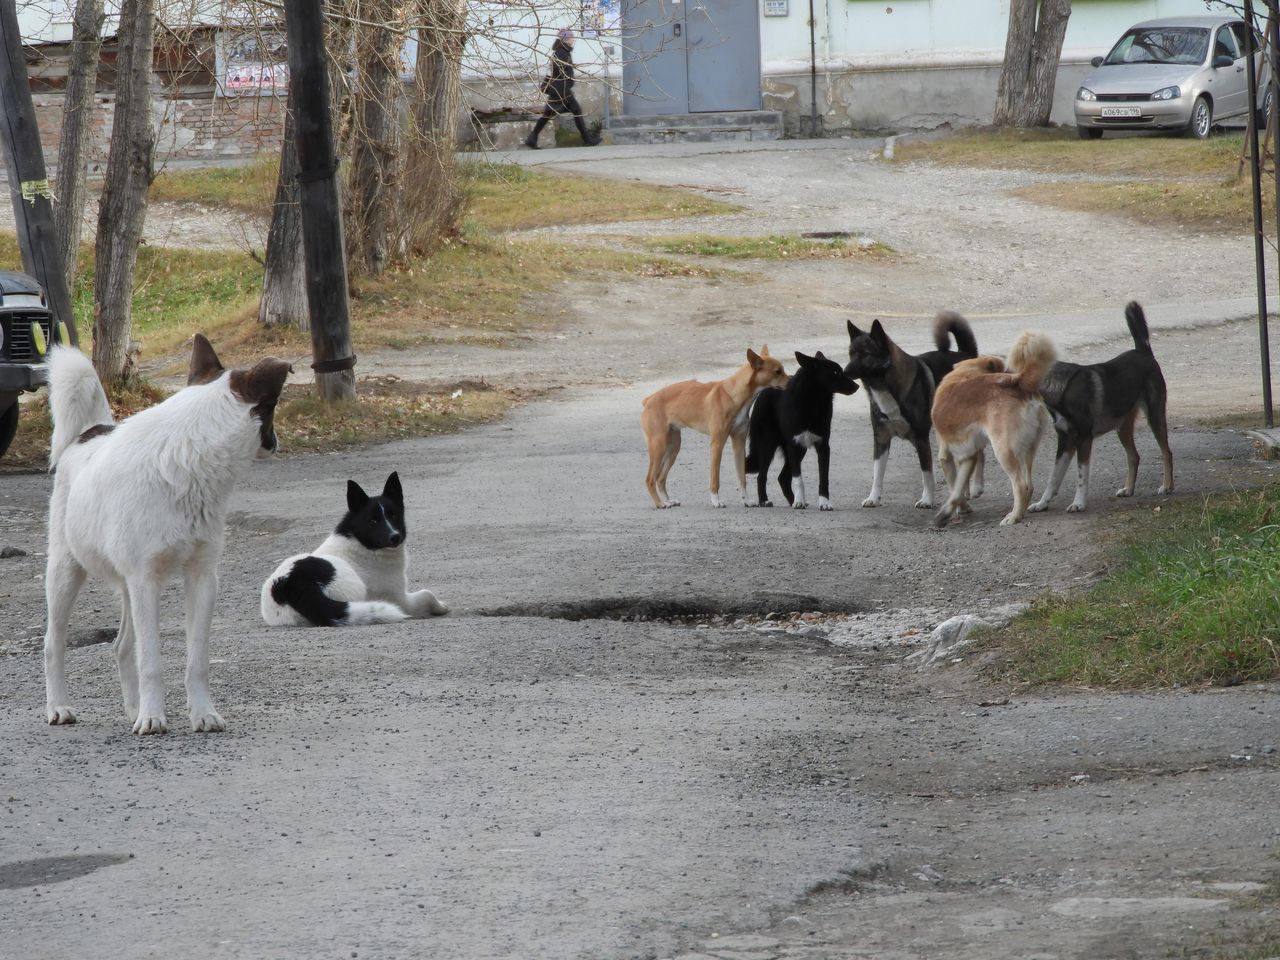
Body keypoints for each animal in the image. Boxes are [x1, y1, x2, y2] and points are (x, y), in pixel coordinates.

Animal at [43, 337, 291, 737]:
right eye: (272, 408)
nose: (277, 441)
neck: (187, 459)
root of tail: (91, 431)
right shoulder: (146, 581)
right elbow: (151, 661)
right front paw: (152, 717)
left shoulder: (202, 579)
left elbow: (197, 660)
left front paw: (202, 713)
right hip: (66, 573)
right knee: (54, 644)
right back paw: (60, 707)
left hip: (126, 586)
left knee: (122, 647)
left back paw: (132, 707)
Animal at [257, 476, 448, 632]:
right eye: (373, 521)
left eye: (394, 515)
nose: (395, 537)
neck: (361, 544)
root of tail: (288, 584)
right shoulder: (401, 600)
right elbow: (428, 594)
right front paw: (441, 607)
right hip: (355, 589)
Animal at [640, 345, 788, 512]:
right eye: (777, 371)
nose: (792, 381)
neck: (733, 395)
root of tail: (648, 400)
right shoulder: (717, 444)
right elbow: (715, 479)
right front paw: (716, 501)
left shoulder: (739, 443)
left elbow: (741, 477)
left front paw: (747, 500)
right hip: (659, 447)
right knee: (650, 479)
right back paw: (660, 503)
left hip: (673, 447)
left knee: (660, 478)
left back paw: (667, 500)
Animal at [742, 350, 860, 506]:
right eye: (835, 372)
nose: (857, 386)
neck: (812, 403)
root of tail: (763, 392)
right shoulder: (794, 445)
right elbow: (798, 479)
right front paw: (799, 501)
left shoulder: (823, 446)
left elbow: (824, 478)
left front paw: (824, 502)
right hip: (768, 445)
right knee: (762, 476)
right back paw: (765, 500)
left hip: (799, 450)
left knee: (782, 478)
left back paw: (792, 501)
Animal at [936, 332, 1054, 529]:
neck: (964, 373)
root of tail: (1018, 382)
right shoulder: (968, 455)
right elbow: (958, 488)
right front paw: (952, 509)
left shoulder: (946, 455)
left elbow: (954, 486)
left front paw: (957, 509)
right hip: (1027, 449)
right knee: (1029, 486)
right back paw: (1019, 513)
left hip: (1003, 450)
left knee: (1020, 485)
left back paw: (1013, 517)